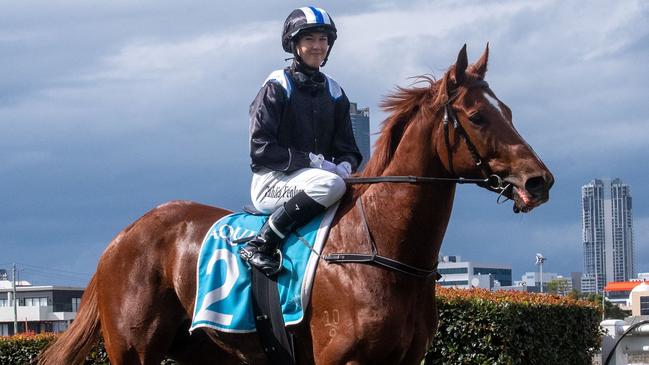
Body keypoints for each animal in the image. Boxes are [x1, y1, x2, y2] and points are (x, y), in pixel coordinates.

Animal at [38, 45, 552, 364]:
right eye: (477, 116)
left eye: (508, 111)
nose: (539, 181)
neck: (383, 252)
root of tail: (123, 236)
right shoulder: (342, 360)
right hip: (133, 350)